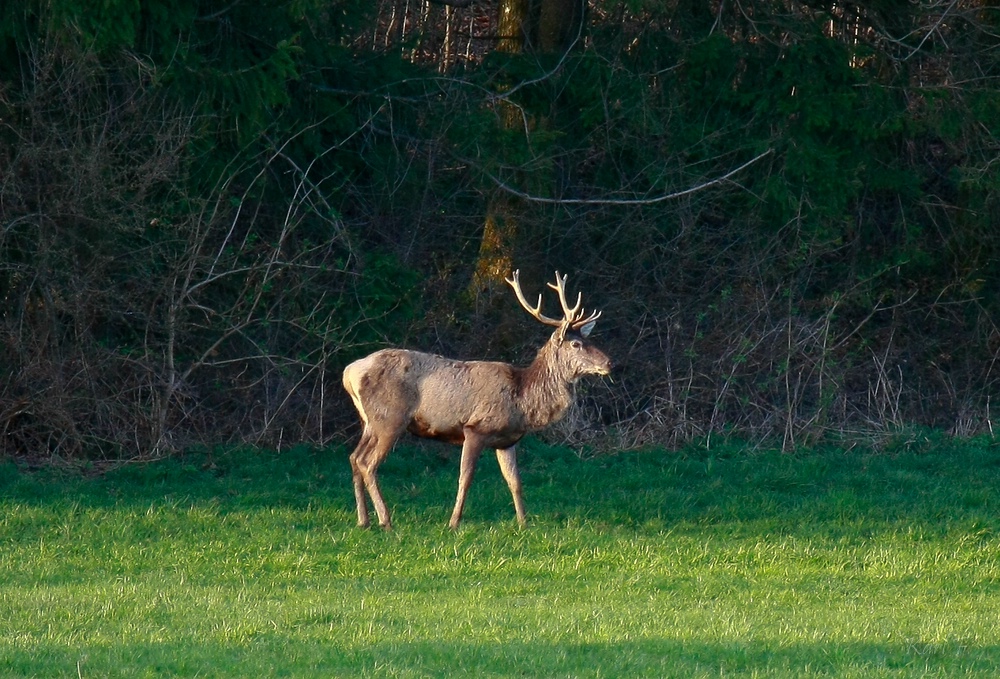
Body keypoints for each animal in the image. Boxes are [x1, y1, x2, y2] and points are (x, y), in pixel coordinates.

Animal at [342, 270, 608, 532]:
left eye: (590, 341)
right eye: (576, 344)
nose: (608, 362)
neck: (522, 399)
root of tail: (349, 373)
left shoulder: (507, 441)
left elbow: (515, 481)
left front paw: (524, 523)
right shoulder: (475, 428)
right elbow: (465, 478)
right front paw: (454, 522)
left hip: (369, 422)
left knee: (354, 457)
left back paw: (363, 520)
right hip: (390, 418)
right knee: (368, 463)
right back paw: (385, 520)